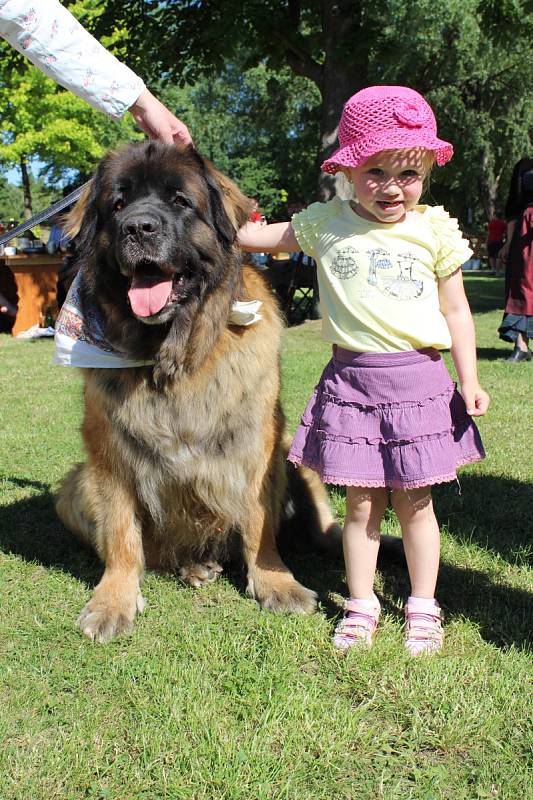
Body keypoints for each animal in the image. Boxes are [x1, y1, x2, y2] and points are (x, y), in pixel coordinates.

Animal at [56, 142, 338, 644]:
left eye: (180, 201)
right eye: (118, 204)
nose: (138, 228)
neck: (175, 357)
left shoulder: (257, 443)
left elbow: (259, 524)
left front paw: (275, 583)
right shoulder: (106, 450)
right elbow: (122, 533)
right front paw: (112, 601)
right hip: (74, 490)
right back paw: (192, 567)